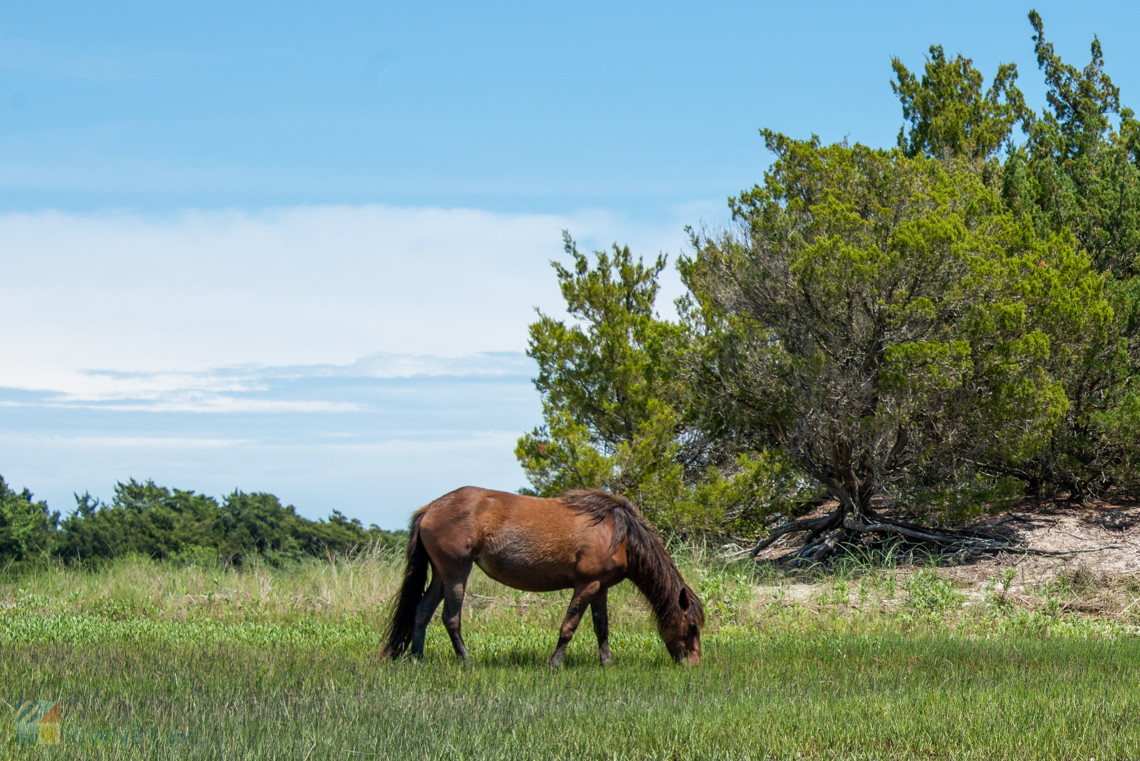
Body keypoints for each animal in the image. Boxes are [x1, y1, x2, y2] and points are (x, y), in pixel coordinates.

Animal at [383, 487, 702, 665]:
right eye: (691, 627)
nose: (694, 664)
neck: (619, 535)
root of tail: (429, 509)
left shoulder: (601, 588)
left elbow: (602, 628)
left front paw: (607, 662)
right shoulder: (586, 585)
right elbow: (569, 626)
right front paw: (555, 663)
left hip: (440, 575)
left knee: (422, 612)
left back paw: (417, 658)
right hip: (456, 573)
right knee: (450, 618)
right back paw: (465, 660)